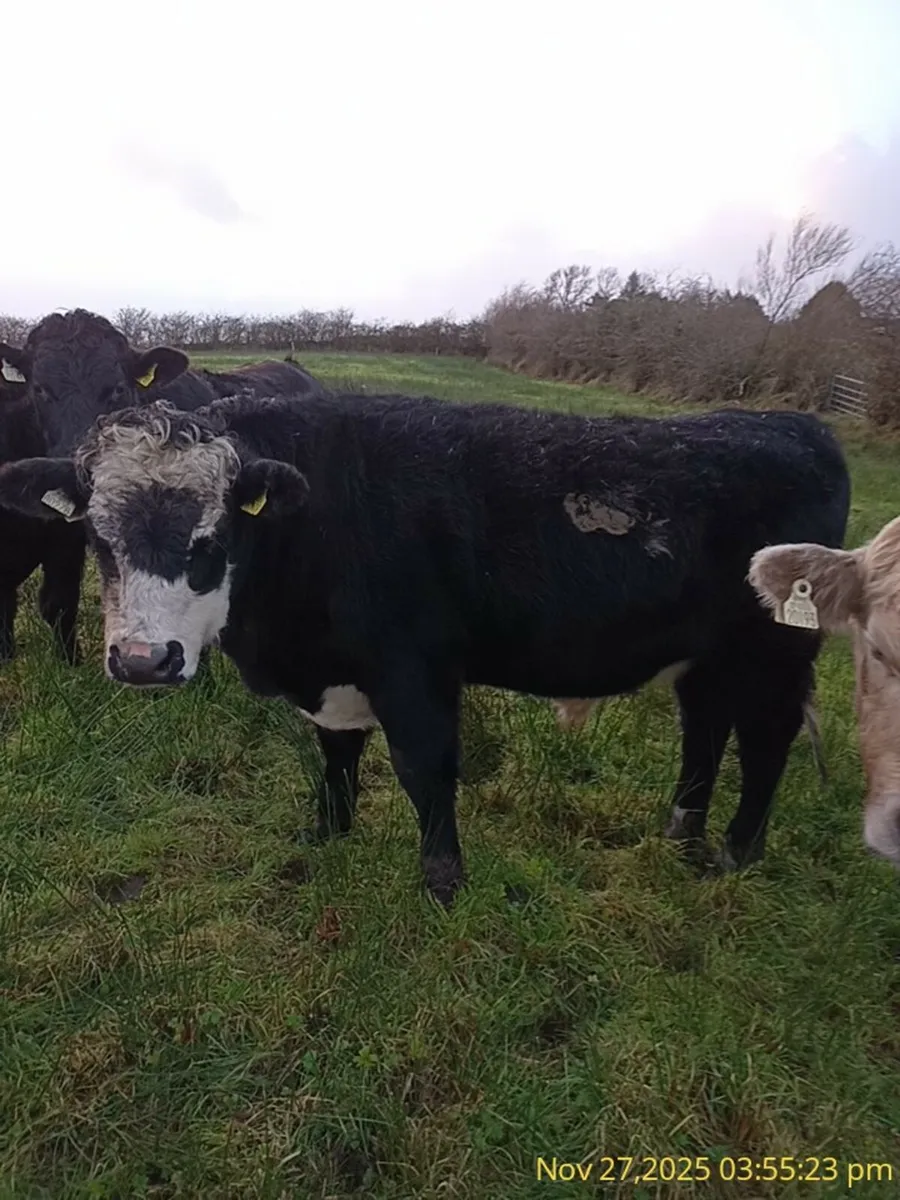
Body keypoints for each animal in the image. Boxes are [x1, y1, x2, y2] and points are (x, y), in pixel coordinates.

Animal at [0, 394, 850, 906]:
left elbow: (424, 771)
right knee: (703, 727)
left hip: (774, 653)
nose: (143, 661)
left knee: (764, 738)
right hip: (706, 655)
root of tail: (789, 423)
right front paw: (328, 833)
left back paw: (736, 851)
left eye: (211, 539)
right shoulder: (333, 676)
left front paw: (443, 883)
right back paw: (681, 834)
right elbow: (337, 753)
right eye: (97, 538)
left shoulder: (414, 672)